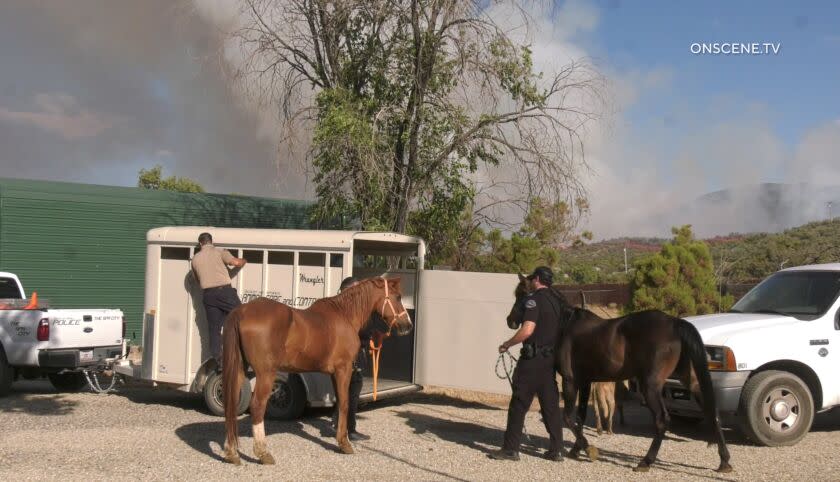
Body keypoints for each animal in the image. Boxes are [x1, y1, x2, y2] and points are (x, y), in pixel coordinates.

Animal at [220, 276, 410, 466]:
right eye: (398, 297)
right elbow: (345, 403)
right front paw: (344, 443)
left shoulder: (333, 374)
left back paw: (231, 452)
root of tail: (242, 311)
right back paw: (263, 453)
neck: (345, 315)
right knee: (258, 405)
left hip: (240, 369)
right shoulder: (343, 369)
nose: (408, 325)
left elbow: (338, 403)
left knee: (231, 401)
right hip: (266, 373)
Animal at [506, 274, 736, 474]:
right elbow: (580, 417)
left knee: (662, 420)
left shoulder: (571, 382)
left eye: (521, 294)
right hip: (690, 380)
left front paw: (588, 449)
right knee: (712, 412)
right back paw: (724, 461)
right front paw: (576, 449)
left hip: (650, 386)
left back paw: (645, 462)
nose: (510, 320)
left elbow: (568, 417)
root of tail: (674, 323)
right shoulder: (586, 382)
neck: (566, 325)